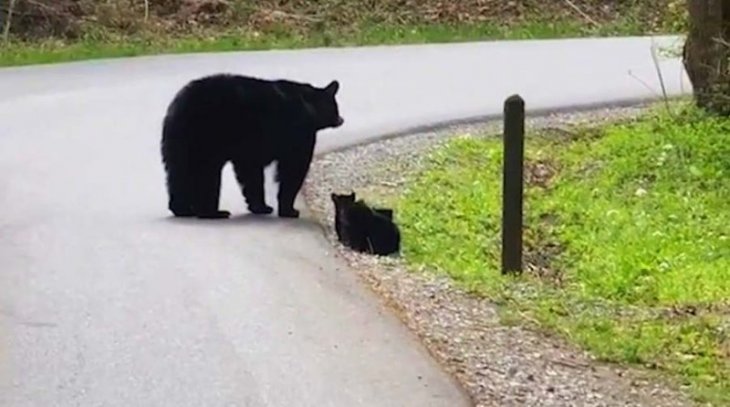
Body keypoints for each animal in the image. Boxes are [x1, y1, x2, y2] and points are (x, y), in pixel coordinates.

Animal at [161, 73, 342, 220]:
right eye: (335, 106)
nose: (341, 119)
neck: (308, 107)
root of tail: (178, 106)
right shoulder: (298, 134)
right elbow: (292, 169)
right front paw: (289, 210)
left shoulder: (250, 151)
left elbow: (250, 173)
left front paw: (261, 206)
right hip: (206, 137)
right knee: (205, 173)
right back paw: (212, 212)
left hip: (179, 142)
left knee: (178, 172)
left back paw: (182, 209)